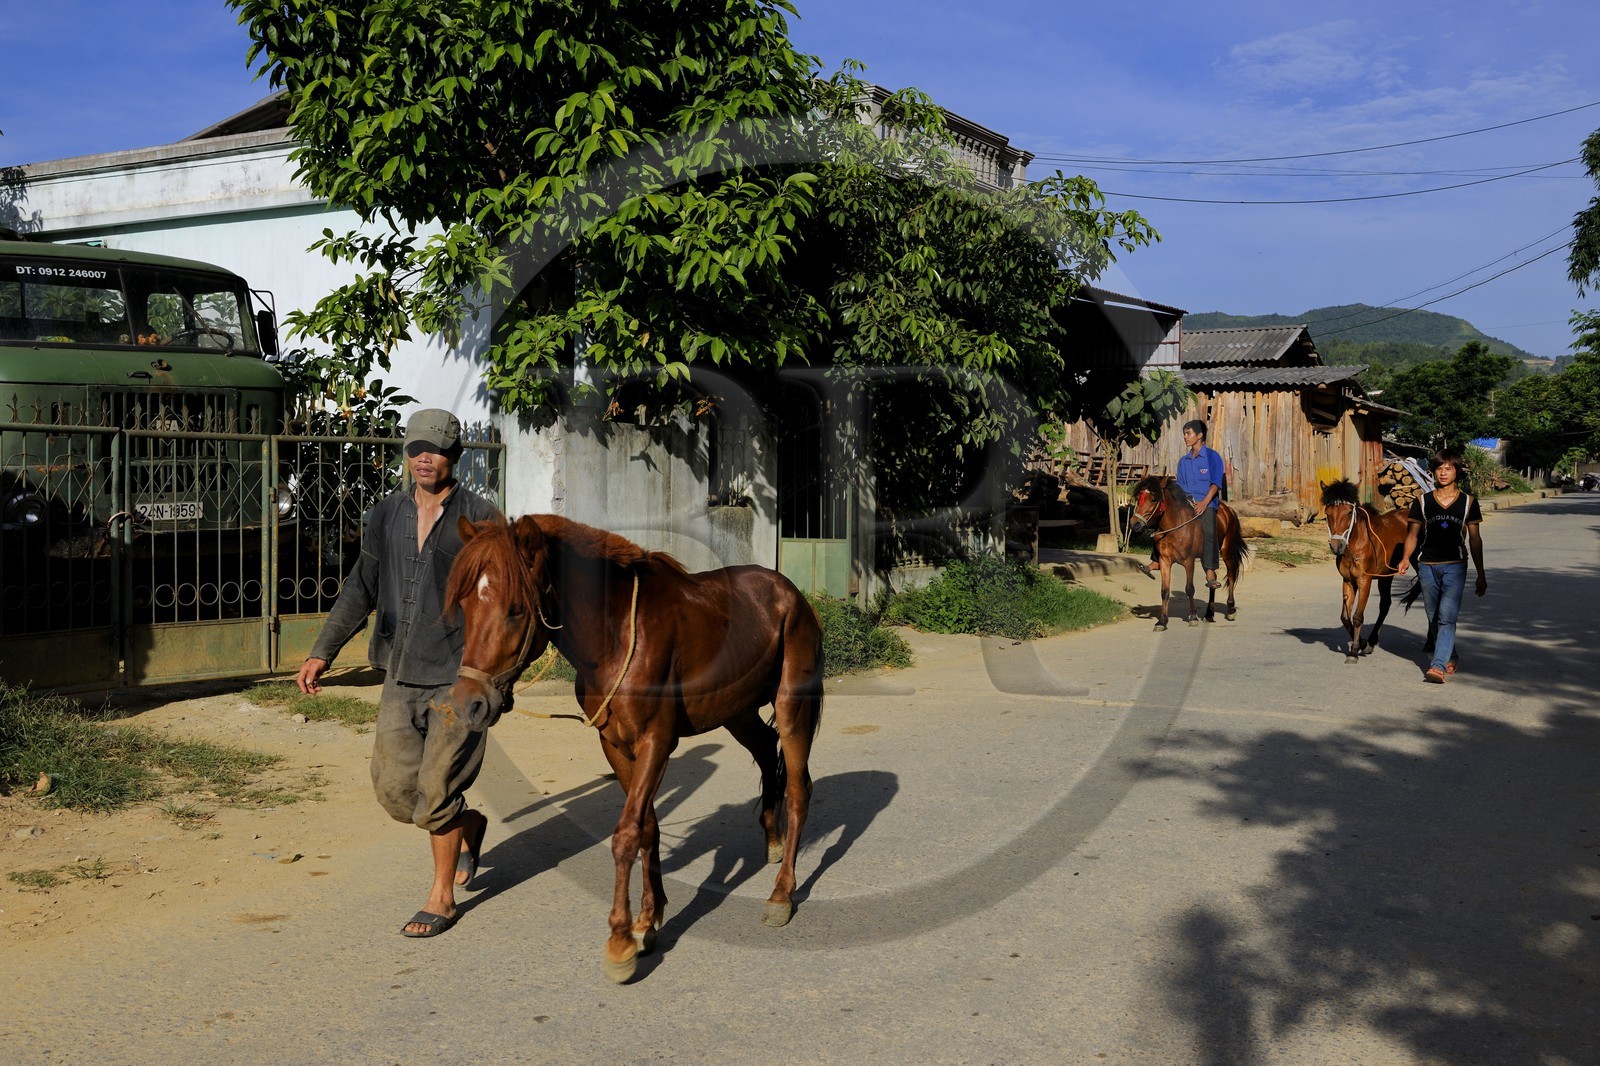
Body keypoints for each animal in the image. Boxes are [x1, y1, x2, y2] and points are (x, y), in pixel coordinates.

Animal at [445, 515, 824, 983]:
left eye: (515, 609)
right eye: (465, 605)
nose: (469, 704)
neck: (618, 636)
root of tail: (790, 593)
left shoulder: (655, 743)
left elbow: (627, 833)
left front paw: (621, 940)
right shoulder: (615, 746)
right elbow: (648, 828)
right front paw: (648, 919)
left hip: (792, 708)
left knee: (798, 789)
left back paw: (781, 894)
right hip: (736, 712)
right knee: (767, 750)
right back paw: (772, 838)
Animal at [1126, 474, 1248, 630]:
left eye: (1153, 499)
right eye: (1138, 498)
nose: (1134, 524)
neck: (1174, 527)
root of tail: (1229, 510)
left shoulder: (1189, 561)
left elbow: (1189, 588)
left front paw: (1193, 617)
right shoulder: (1165, 561)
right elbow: (1164, 591)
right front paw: (1162, 621)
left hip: (1226, 551)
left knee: (1231, 574)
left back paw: (1231, 609)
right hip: (1205, 557)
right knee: (1212, 578)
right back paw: (1209, 613)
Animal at [1320, 479, 1410, 661]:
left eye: (1349, 512)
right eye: (1327, 512)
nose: (1336, 546)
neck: (1356, 544)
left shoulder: (1364, 581)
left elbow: (1357, 616)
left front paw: (1354, 651)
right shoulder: (1348, 581)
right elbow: (1345, 617)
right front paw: (1363, 644)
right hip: (1385, 576)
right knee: (1385, 604)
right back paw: (1372, 640)